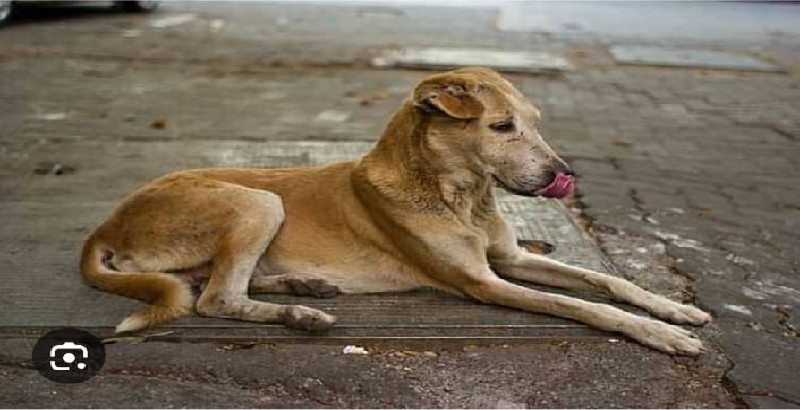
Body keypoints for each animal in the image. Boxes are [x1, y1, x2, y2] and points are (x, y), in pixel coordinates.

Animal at [79, 67, 708, 356]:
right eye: (502, 127)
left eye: (535, 122)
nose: (563, 174)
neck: (463, 198)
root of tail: (106, 224)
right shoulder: (483, 282)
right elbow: (582, 305)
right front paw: (658, 333)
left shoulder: (509, 258)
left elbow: (605, 281)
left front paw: (672, 309)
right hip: (257, 200)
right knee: (215, 298)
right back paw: (299, 314)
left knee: (217, 282)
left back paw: (303, 289)